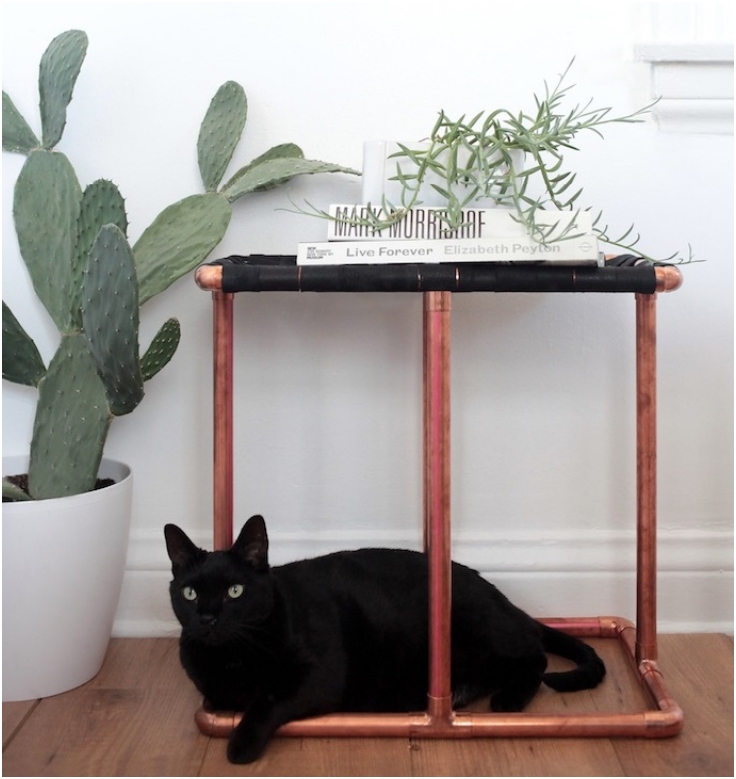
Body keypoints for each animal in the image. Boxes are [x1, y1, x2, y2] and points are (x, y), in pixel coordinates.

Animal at [165, 516, 604, 764]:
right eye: (190, 593)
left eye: (234, 591)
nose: (208, 618)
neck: (231, 657)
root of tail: (508, 602)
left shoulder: (316, 675)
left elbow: (267, 699)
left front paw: (240, 746)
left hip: (477, 631)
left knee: (535, 657)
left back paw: (507, 699)